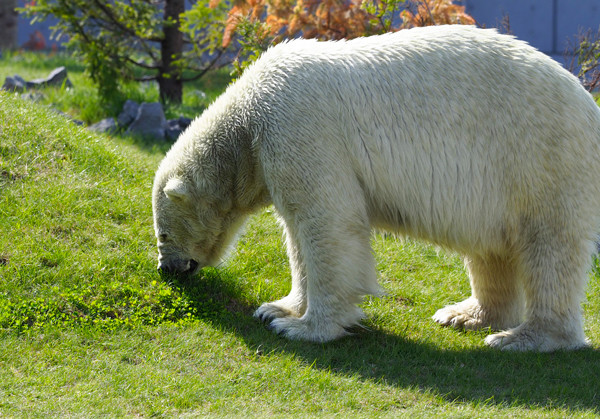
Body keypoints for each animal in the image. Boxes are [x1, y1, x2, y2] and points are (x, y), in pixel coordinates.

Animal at [152, 25, 600, 352]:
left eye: (163, 233)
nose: (166, 268)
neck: (246, 122)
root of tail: (588, 103)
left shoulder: (298, 127)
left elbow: (328, 222)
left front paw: (304, 328)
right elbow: (297, 231)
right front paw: (276, 309)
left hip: (541, 160)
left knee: (550, 248)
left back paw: (523, 337)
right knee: (492, 249)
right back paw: (467, 314)